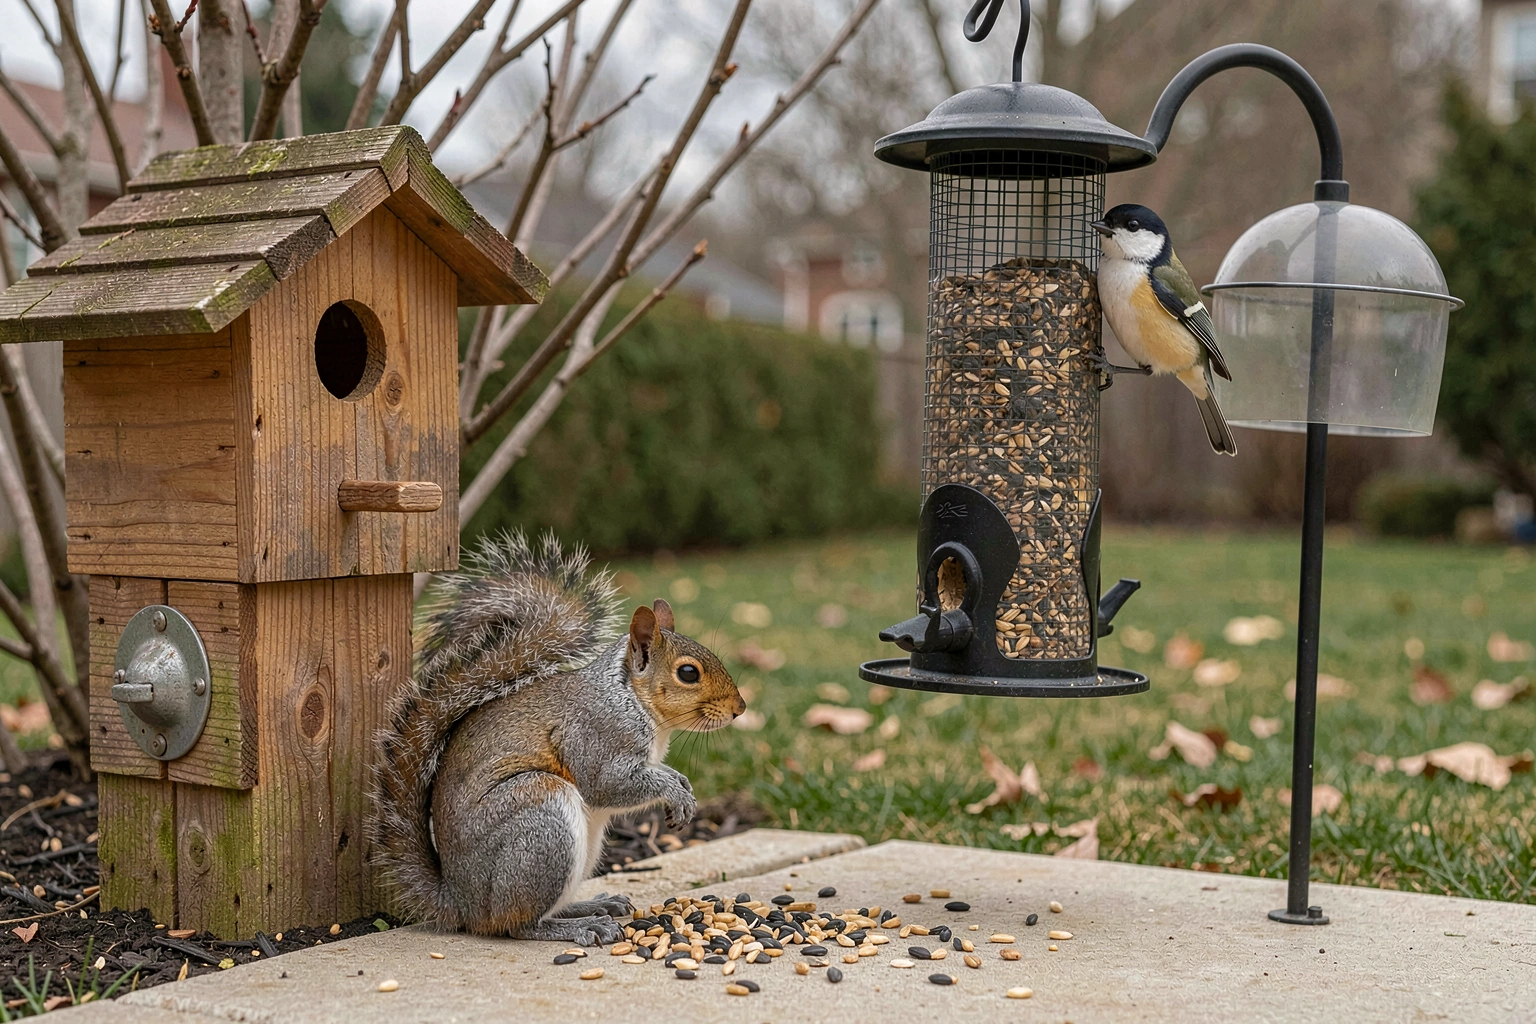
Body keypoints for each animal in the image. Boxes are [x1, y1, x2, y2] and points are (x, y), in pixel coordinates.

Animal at [368, 532, 745, 943]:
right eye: (688, 673)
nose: (740, 707)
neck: (630, 699)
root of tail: (461, 903)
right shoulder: (594, 734)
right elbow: (607, 785)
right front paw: (676, 791)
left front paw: (681, 785)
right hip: (541, 819)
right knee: (517, 924)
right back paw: (577, 926)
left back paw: (593, 905)